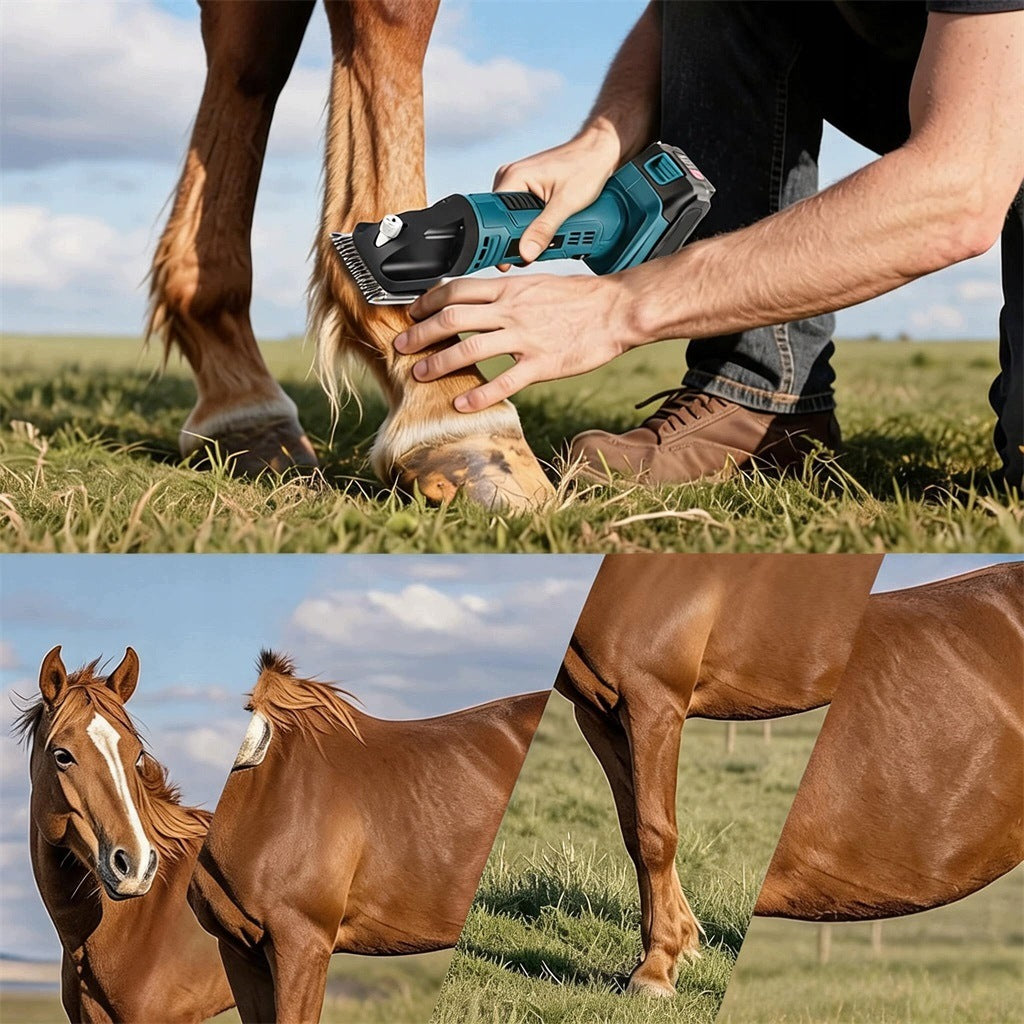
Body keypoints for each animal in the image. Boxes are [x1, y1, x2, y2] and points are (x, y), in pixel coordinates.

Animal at [553, 553, 885, 996]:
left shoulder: (654, 704)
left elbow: (655, 835)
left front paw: (655, 969)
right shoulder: (599, 716)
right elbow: (634, 832)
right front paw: (678, 945)